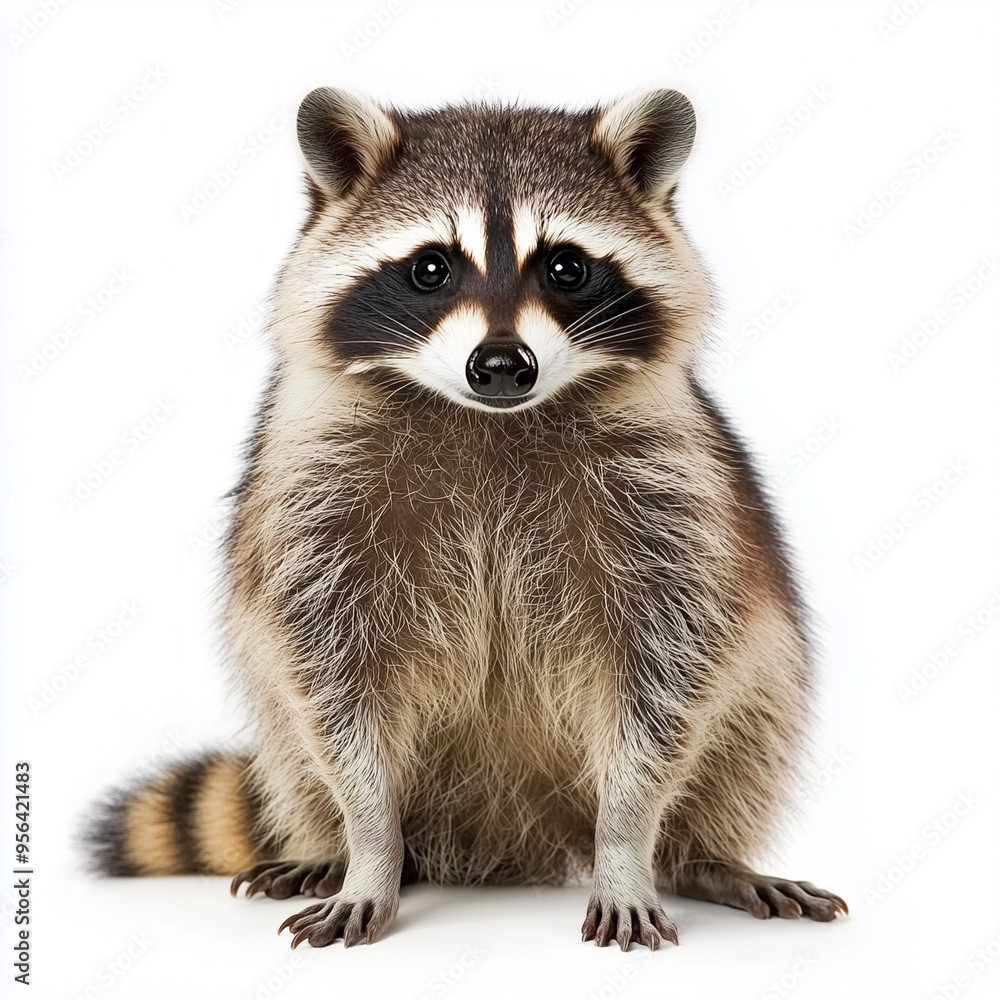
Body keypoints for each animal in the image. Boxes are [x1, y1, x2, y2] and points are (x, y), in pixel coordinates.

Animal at [83, 86, 847, 951]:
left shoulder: (669, 489)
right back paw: (333, 848)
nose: (503, 365)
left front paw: (626, 844)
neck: (488, 418)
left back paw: (703, 859)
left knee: (749, 732)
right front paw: (370, 845)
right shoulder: (313, 486)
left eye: (566, 266)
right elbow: (327, 680)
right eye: (430, 268)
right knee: (292, 737)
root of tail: (510, 841)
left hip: (765, 670)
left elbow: (667, 678)